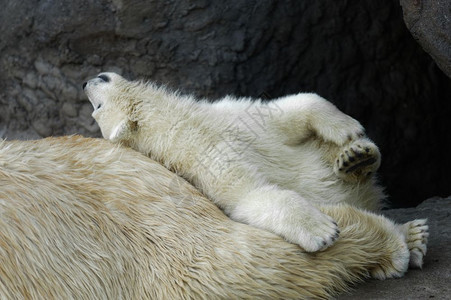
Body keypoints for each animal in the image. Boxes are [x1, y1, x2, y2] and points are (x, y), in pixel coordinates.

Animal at [85, 72, 388, 253]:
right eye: (97, 108)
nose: (87, 81)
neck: (186, 123)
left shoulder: (232, 116)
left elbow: (292, 108)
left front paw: (347, 128)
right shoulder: (205, 157)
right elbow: (249, 194)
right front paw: (323, 232)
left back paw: (356, 156)